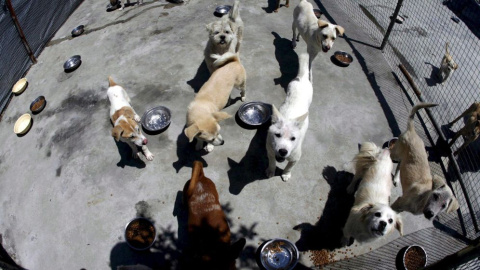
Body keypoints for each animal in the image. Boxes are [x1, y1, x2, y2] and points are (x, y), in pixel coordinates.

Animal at [264, 52, 314, 181]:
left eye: (293, 138)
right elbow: (272, 162)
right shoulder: (270, 151)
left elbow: (289, 166)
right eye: (277, 135)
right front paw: (271, 171)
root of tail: (302, 78)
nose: (282, 151)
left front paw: (286, 174)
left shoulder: (295, 157)